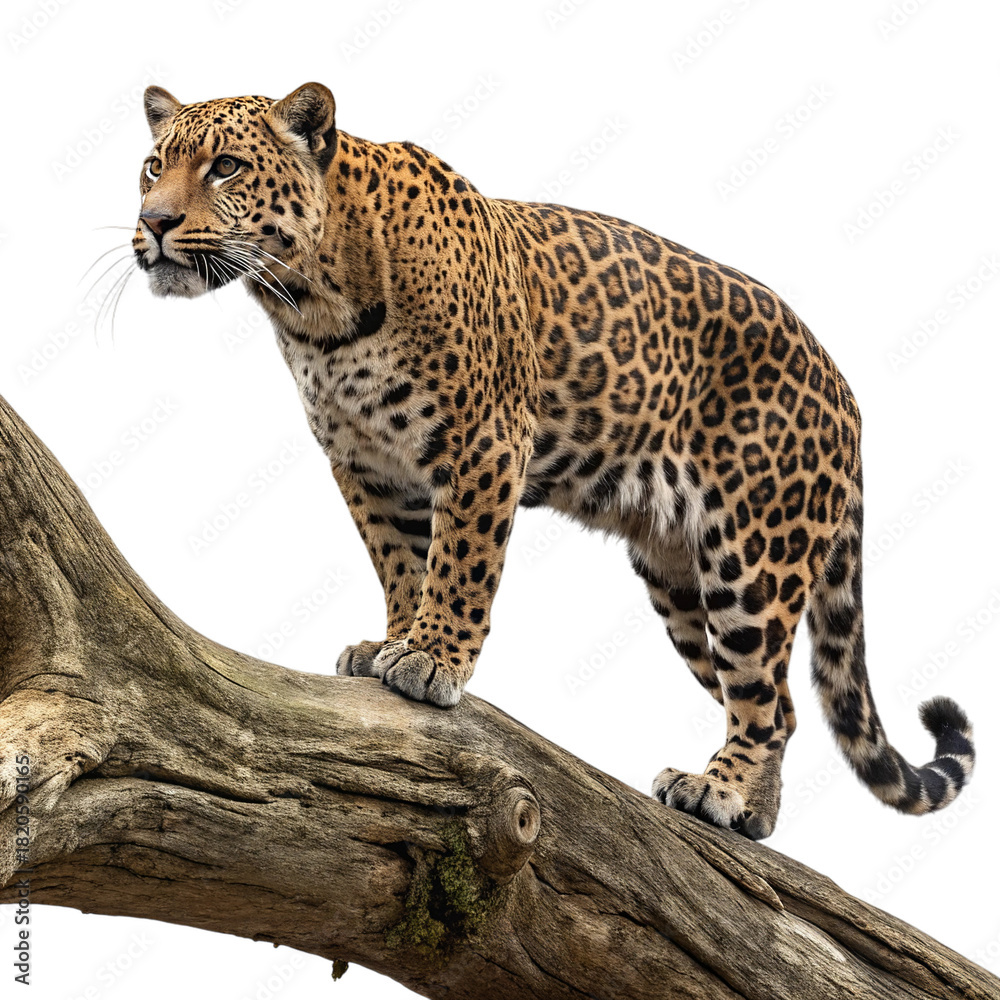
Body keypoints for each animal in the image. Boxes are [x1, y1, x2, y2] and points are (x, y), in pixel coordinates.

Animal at [132, 82, 975, 839]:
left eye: (226, 167)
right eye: (152, 166)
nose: (153, 222)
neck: (314, 302)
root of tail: (846, 393)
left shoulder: (483, 441)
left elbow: (458, 563)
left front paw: (431, 659)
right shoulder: (364, 463)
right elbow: (400, 563)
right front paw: (391, 643)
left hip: (754, 556)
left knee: (764, 696)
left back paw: (720, 790)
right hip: (678, 577)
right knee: (784, 704)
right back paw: (752, 814)